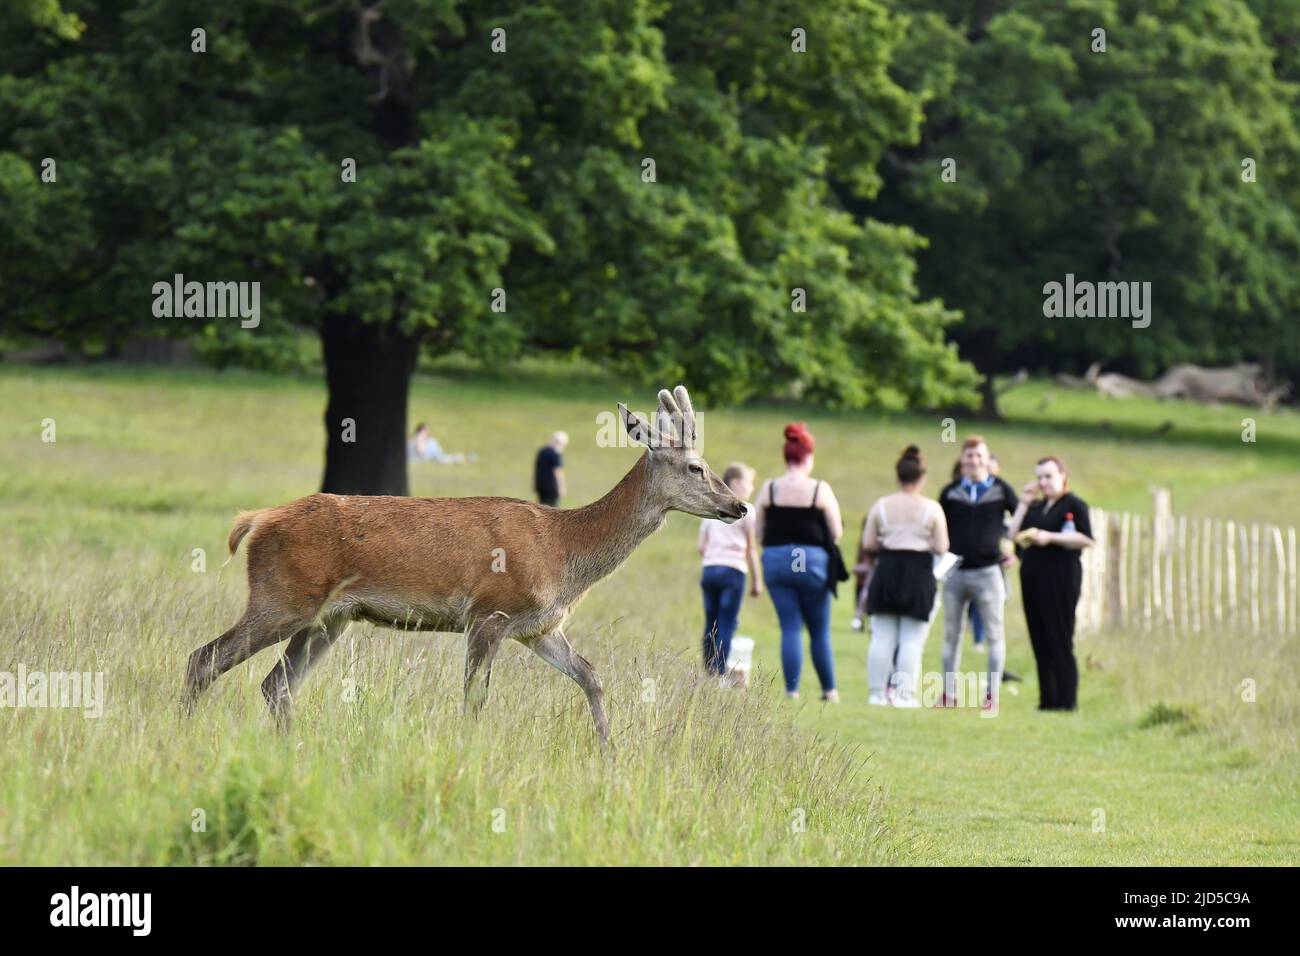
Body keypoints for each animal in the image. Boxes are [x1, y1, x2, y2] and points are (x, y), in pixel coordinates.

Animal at [187, 382, 748, 754]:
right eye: (696, 467)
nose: (739, 506)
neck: (564, 553)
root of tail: (257, 519)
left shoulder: (539, 627)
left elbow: (591, 675)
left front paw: (609, 753)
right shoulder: (490, 612)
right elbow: (475, 699)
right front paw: (469, 754)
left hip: (330, 617)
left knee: (275, 685)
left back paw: (292, 748)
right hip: (284, 595)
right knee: (205, 658)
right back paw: (185, 729)